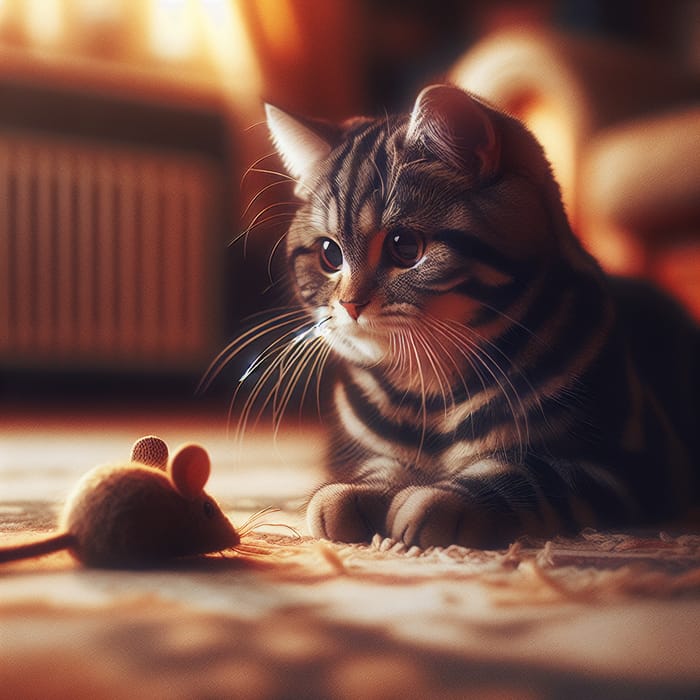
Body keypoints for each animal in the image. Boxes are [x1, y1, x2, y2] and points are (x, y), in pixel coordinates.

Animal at [237, 85, 700, 548]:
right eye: (329, 254)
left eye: (405, 246)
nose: (350, 304)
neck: (429, 386)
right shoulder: (357, 450)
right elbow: (373, 467)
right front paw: (349, 494)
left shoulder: (617, 465)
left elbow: (522, 477)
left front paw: (439, 501)